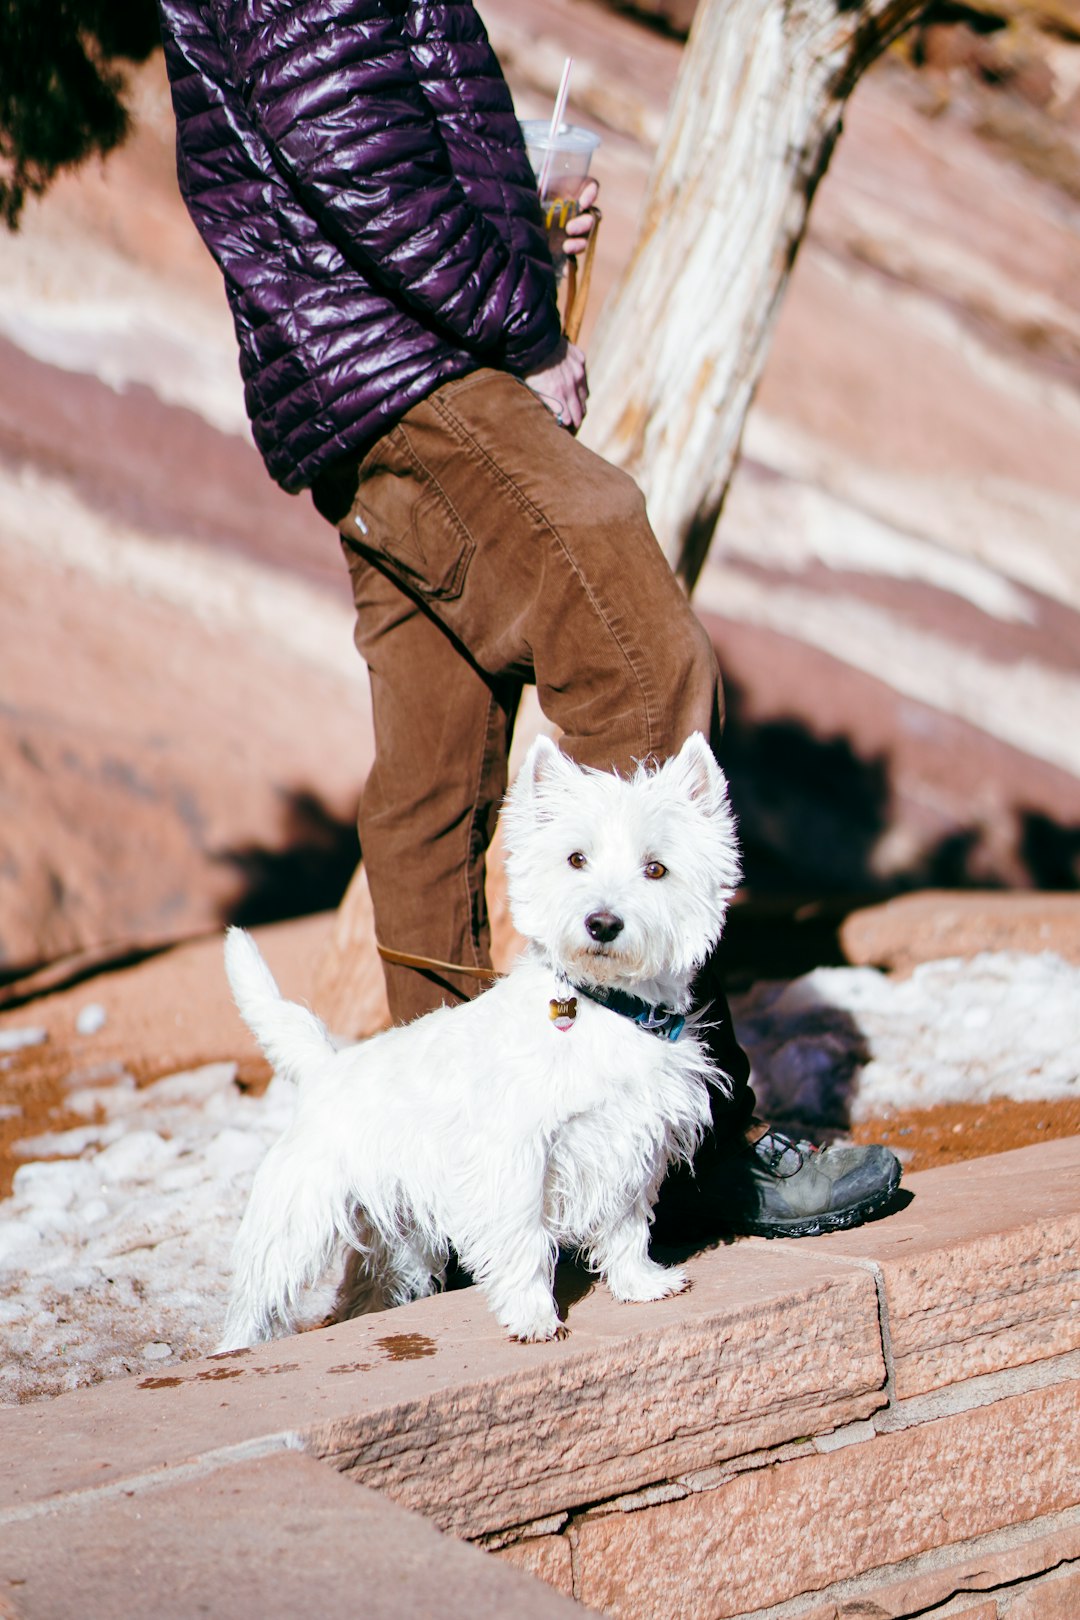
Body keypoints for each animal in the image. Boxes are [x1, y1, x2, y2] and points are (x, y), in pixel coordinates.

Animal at [220, 729, 744, 1347]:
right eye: (576, 859)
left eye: (656, 869)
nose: (602, 923)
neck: (607, 1009)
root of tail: (326, 1067)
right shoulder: (516, 1155)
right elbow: (525, 1242)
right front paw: (534, 1315)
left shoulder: (632, 1142)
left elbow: (627, 1221)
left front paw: (639, 1283)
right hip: (300, 1216)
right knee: (257, 1298)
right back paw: (235, 1352)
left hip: (399, 1234)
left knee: (364, 1289)